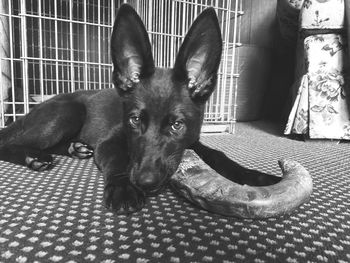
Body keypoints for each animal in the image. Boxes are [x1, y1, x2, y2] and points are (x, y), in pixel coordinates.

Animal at [0, 4, 278, 214]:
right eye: (134, 120)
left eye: (177, 125)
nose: (145, 181)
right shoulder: (110, 142)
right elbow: (117, 161)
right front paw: (123, 188)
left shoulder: (193, 140)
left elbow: (220, 156)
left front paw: (260, 177)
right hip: (66, 113)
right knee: (10, 142)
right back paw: (33, 157)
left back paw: (74, 148)